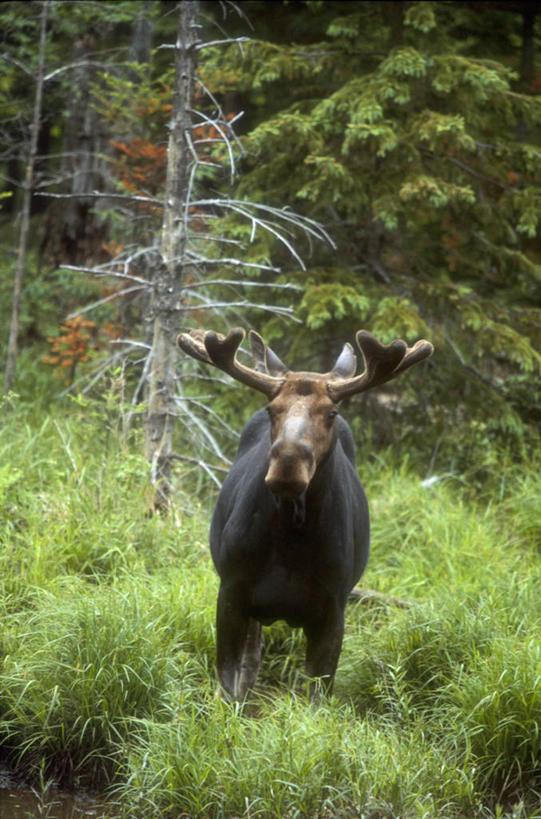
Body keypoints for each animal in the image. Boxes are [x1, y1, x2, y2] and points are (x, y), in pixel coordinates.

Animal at [177, 330, 434, 700]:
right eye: (272, 409)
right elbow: (229, 686)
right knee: (251, 661)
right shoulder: (231, 591)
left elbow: (317, 696)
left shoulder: (334, 609)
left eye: (331, 413)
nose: (287, 464)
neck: (291, 539)